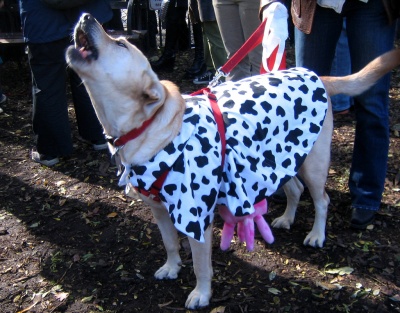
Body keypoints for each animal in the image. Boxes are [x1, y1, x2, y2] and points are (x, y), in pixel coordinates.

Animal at [65, 14, 400, 308]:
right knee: (294, 190)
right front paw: (172, 267)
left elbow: (200, 265)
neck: (144, 128)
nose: (86, 17)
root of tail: (316, 75)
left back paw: (317, 234)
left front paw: (201, 294)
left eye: (121, 43)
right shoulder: (158, 211)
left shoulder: (196, 218)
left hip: (314, 164)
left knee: (322, 200)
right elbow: (170, 244)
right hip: (280, 160)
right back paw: (287, 218)